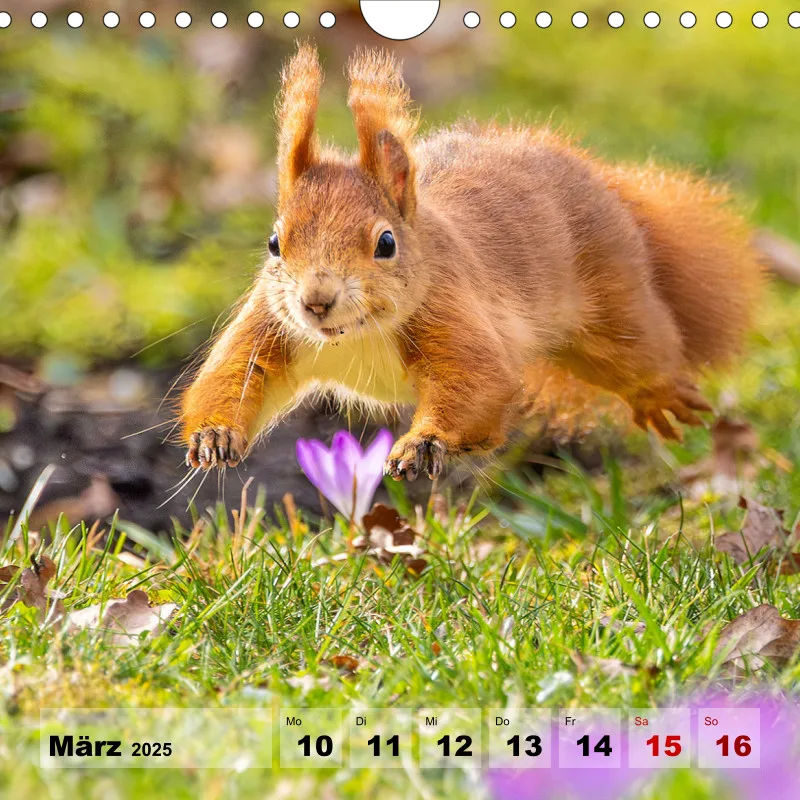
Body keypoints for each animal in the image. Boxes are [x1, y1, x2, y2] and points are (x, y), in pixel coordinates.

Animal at [180, 44, 763, 481]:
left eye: (385, 243)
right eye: (274, 243)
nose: (316, 301)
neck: (353, 337)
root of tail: (603, 178)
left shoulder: (449, 310)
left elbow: (478, 381)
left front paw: (424, 444)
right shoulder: (270, 326)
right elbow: (232, 375)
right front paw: (215, 435)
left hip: (612, 298)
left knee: (638, 349)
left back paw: (658, 394)